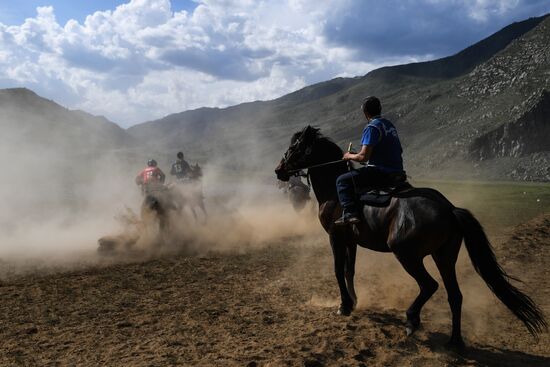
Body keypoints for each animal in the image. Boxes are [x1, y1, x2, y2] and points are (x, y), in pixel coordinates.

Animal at [276, 126, 548, 348]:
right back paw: (455, 341)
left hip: (407, 256)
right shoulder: (351, 241)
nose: (279, 170)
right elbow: (348, 270)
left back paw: (412, 320)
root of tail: (448, 208)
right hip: (444, 257)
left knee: (429, 285)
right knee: (454, 295)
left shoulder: (336, 238)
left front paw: (344, 306)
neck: (335, 191)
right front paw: (354, 301)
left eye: (294, 147)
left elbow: (336, 270)